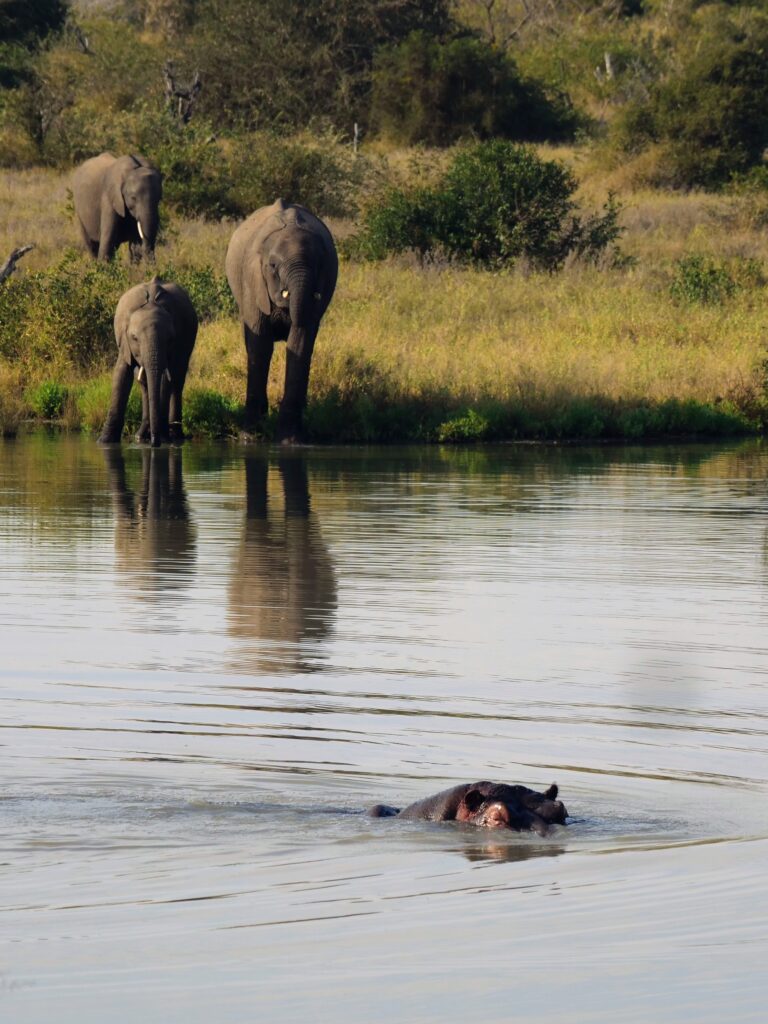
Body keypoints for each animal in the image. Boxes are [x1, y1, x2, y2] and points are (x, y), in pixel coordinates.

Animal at [99, 277, 198, 447]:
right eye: (134, 338)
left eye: (170, 339)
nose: (154, 443)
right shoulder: (124, 343)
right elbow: (121, 376)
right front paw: (104, 441)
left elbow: (165, 379)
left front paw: (163, 439)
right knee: (144, 383)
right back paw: (141, 436)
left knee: (177, 380)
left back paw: (174, 435)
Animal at [225, 198, 338, 443]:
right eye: (273, 266)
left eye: (318, 265)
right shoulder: (253, 280)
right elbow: (260, 345)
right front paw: (250, 436)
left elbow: (300, 344)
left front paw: (290, 440)